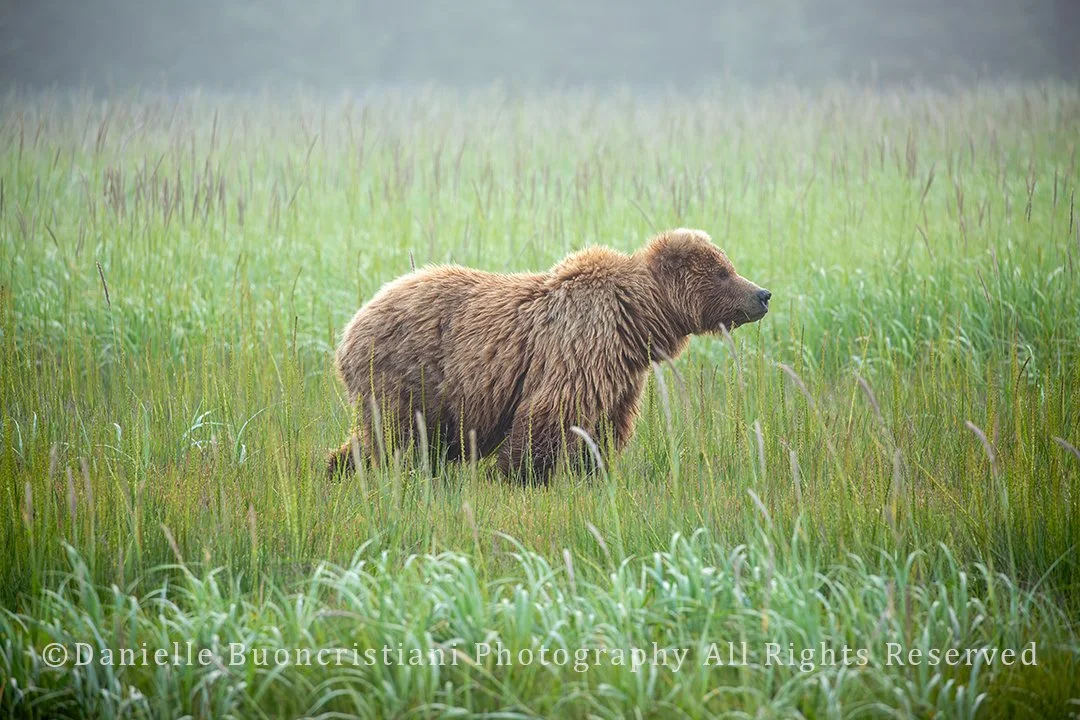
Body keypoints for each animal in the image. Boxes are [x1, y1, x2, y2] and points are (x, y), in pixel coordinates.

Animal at [328, 228, 771, 483]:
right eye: (723, 272)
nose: (763, 294)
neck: (637, 319)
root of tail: (350, 327)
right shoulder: (580, 347)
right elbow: (550, 414)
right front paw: (515, 475)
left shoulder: (622, 374)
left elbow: (606, 427)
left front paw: (593, 471)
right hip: (408, 373)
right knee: (396, 437)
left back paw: (339, 467)